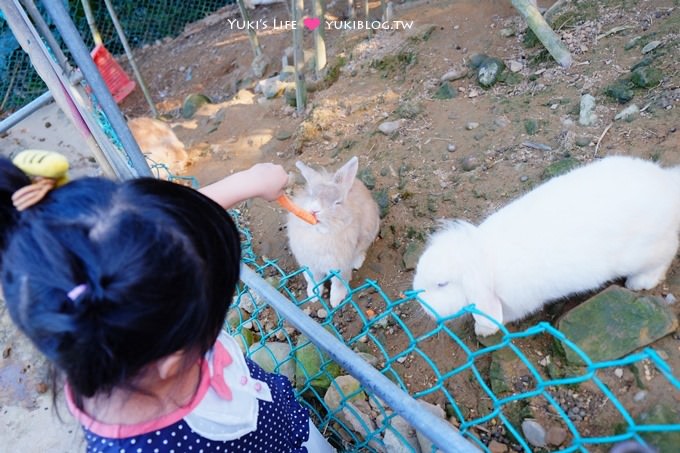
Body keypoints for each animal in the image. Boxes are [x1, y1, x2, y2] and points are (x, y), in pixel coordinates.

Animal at [286, 156, 382, 308]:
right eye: (311, 195)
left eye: (338, 203)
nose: (314, 210)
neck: (321, 232)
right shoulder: (310, 264)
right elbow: (314, 280)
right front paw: (313, 295)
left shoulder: (340, 266)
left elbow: (338, 284)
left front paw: (336, 301)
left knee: (361, 250)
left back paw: (357, 262)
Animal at [412, 155, 680, 336]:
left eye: (442, 284)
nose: (420, 305)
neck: (484, 263)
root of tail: (668, 185)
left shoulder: (516, 302)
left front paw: (482, 330)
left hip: (646, 250)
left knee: (666, 253)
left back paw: (640, 282)